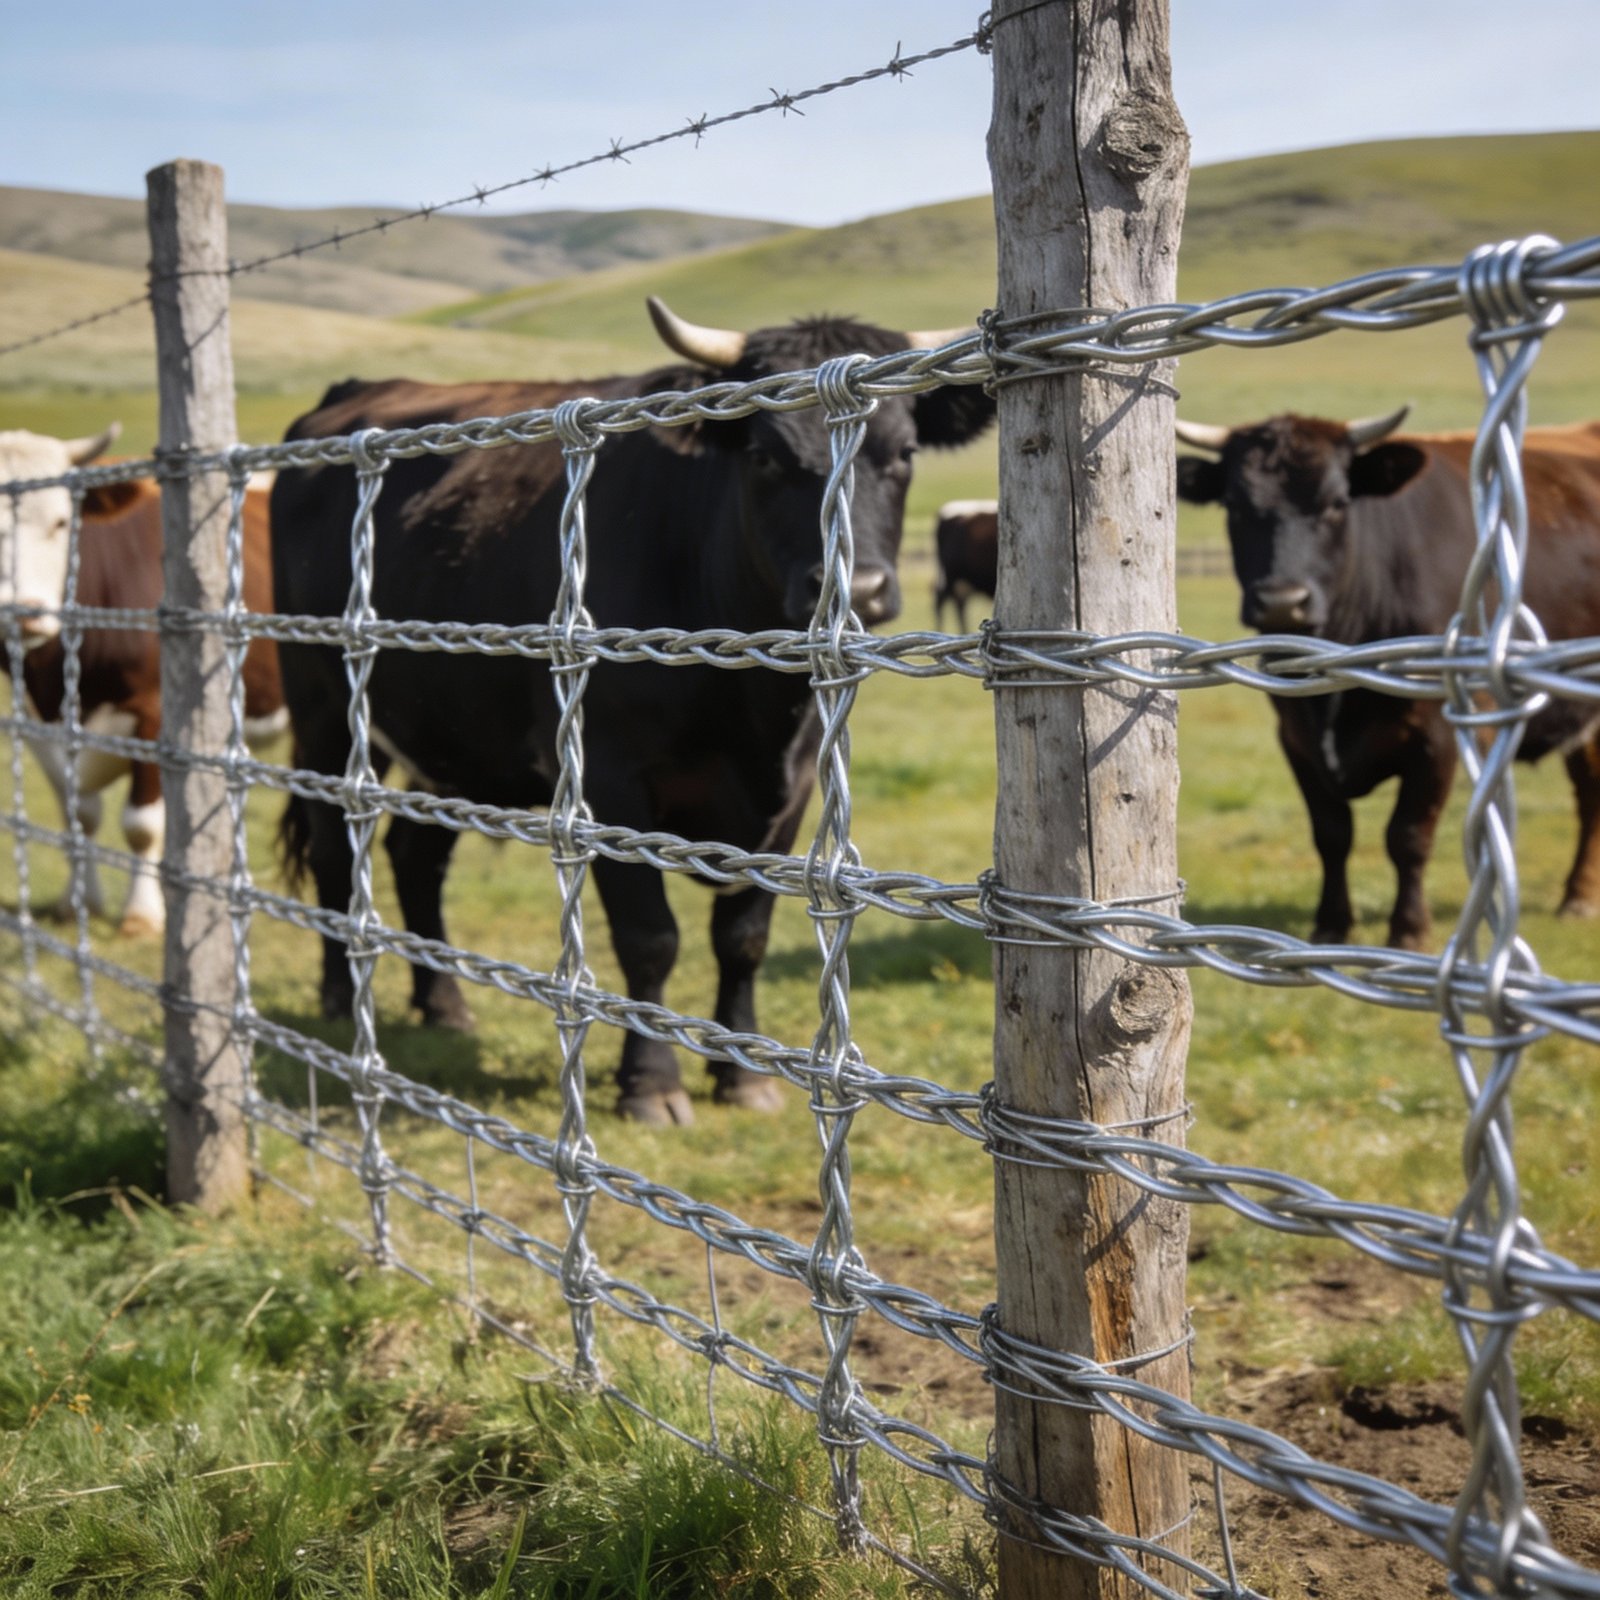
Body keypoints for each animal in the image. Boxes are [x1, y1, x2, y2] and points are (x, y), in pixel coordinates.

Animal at [0, 428, 284, 935]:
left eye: (62, 522)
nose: (23, 613)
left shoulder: (153, 715)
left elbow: (141, 824)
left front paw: (142, 914)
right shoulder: (36, 723)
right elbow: (79, 815)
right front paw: (80, 902)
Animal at [1176, 405, 1600, 950]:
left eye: (1338, 504)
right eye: (1233, 504)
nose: (1282, 601)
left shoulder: (1440, 734)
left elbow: (1408, 836)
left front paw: (1408, 930)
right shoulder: (1295, 736)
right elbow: (1331, 832)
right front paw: (1331, 925)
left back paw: (1578, 897)